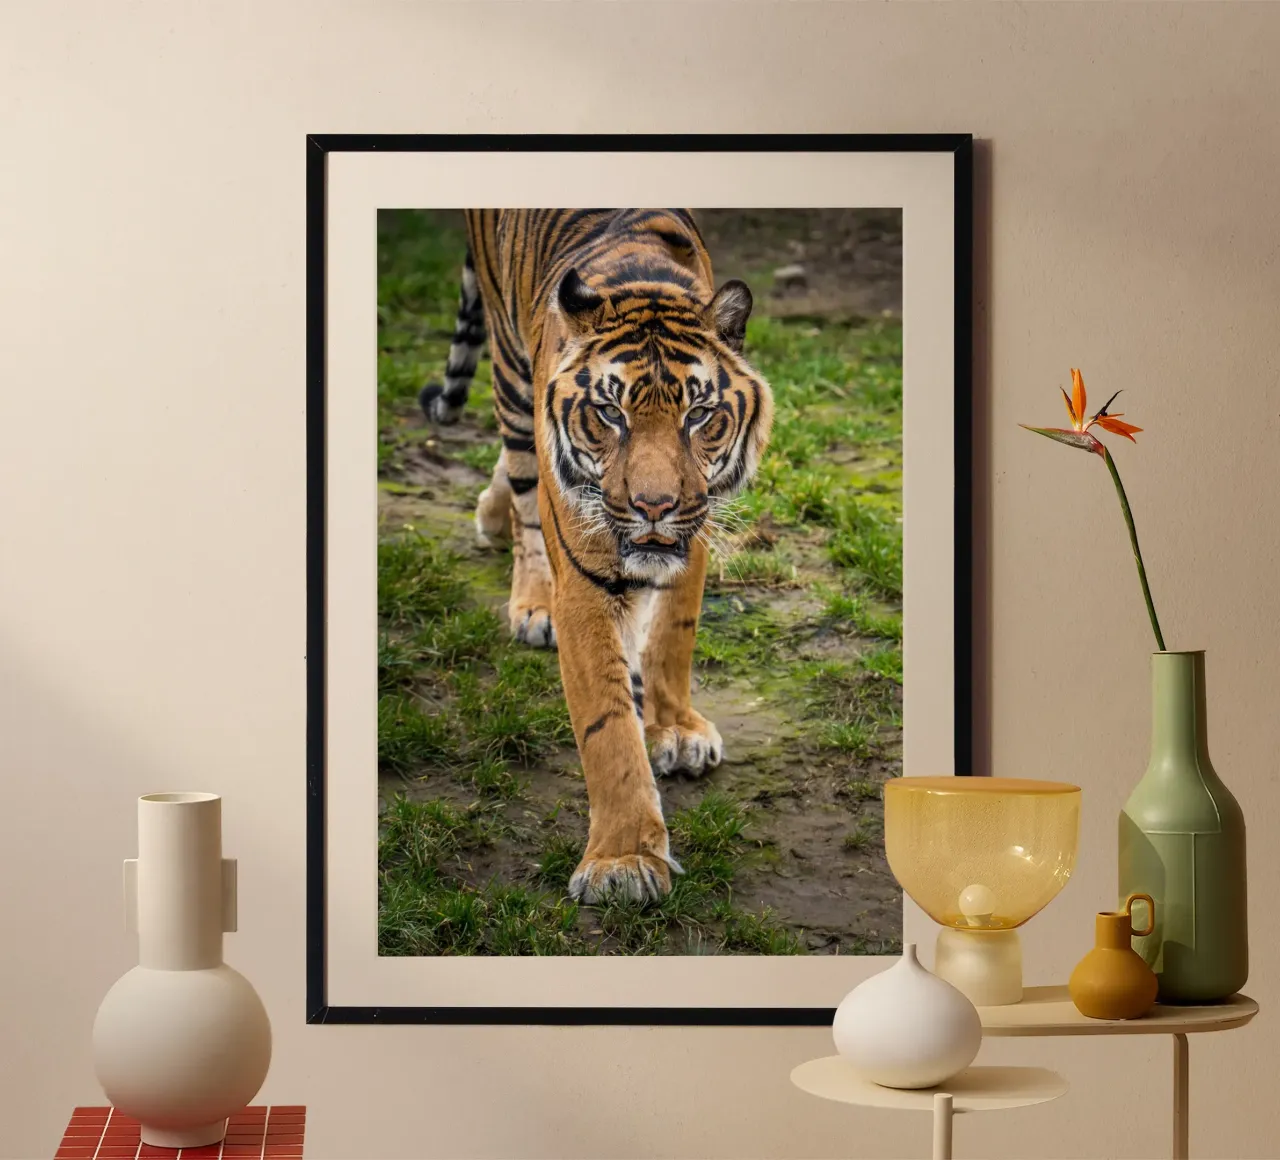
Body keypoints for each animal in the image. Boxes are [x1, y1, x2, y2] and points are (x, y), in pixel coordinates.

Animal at [419, 209, 773, 904]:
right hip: (509, 379)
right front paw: (624, 860)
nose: (655, 505)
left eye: (700, 415)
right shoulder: (583, 582)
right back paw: (528, 594)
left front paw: (674, 728)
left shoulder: (693, 536)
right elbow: (607, 730)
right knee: (525, 501)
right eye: (610, 413)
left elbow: (672, 639)